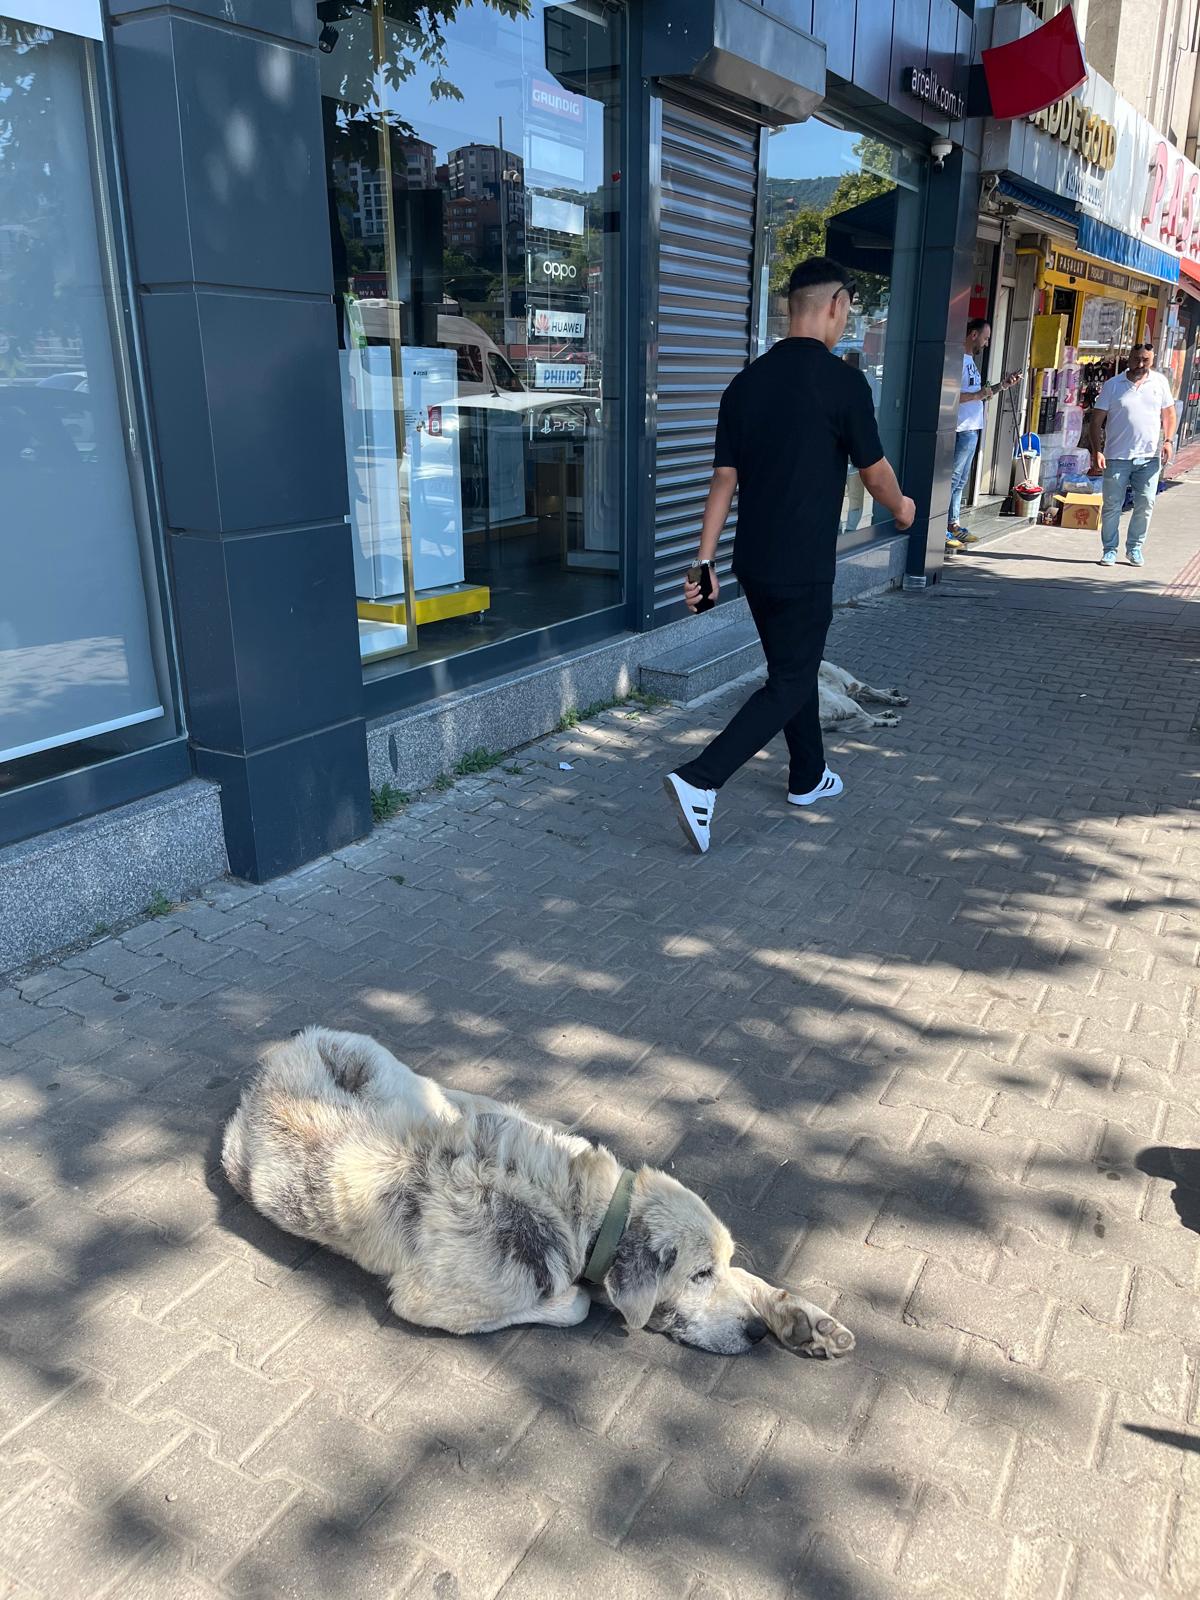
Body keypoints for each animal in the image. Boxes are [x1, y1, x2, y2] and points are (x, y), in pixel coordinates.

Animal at [224, 1030, 857, 1356]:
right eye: (698, 1275)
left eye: (715, 1268)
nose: (756, 1333)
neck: (572, 1206)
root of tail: (289, 1046)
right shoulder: (426, 1304)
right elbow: (574, 1305)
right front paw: (581, 1299)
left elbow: (749, 1280)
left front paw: (799, 1316)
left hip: (415, 1085)